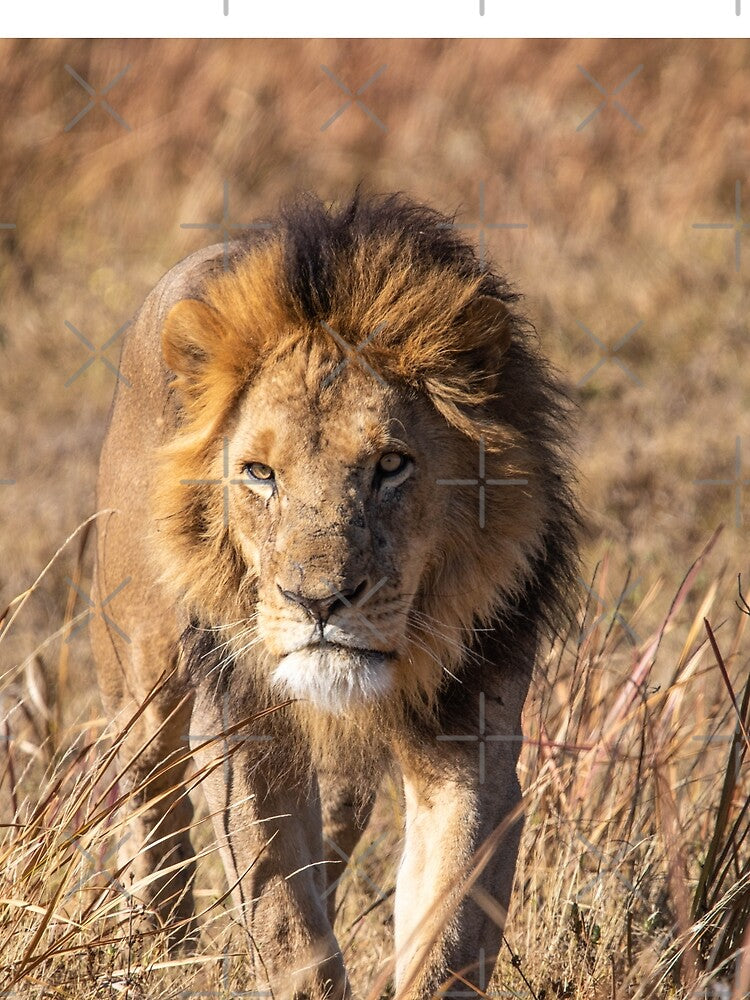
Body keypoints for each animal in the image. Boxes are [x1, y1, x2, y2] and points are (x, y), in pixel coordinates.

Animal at [91, 192, 579, 1000]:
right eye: (260, 474)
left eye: (391, 465)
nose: (319, 603)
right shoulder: (243, 730)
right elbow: (289, 926)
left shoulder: (471, 739)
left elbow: (447, 929)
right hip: (144, 674)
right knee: (152, 807)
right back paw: (163, 955)